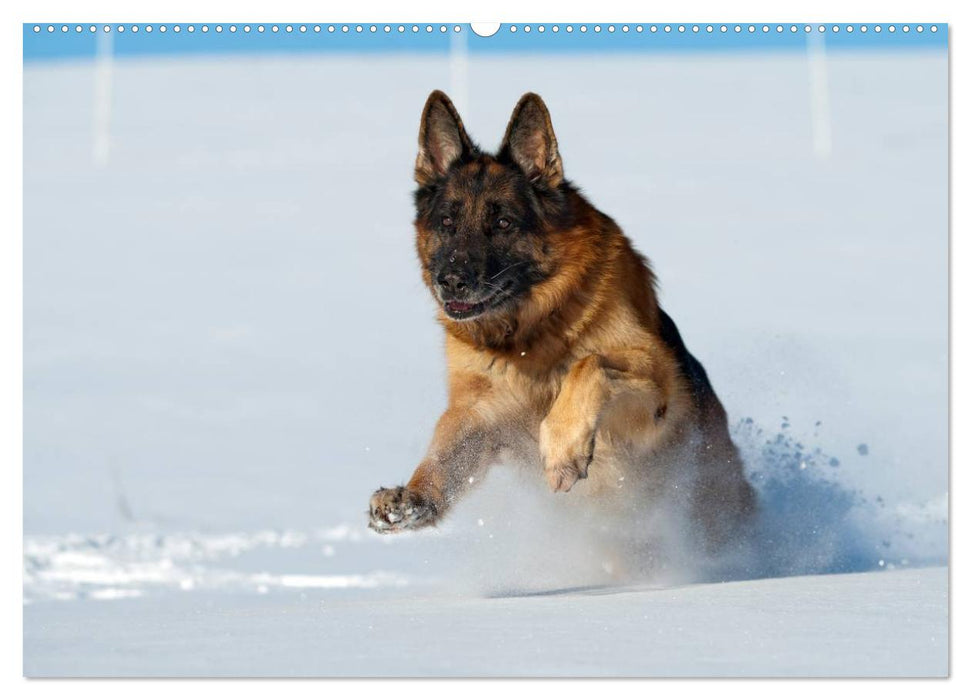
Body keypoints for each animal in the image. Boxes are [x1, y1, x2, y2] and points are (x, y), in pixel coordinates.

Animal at [368, 91, 756, 552]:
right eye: (447, 221)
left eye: (503, 223)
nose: (451, 281)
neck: (531, 335)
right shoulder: (480, 413)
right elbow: (446, 451)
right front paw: (411, 497)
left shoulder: (656, 392)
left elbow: (589, 365)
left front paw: (562, 449)